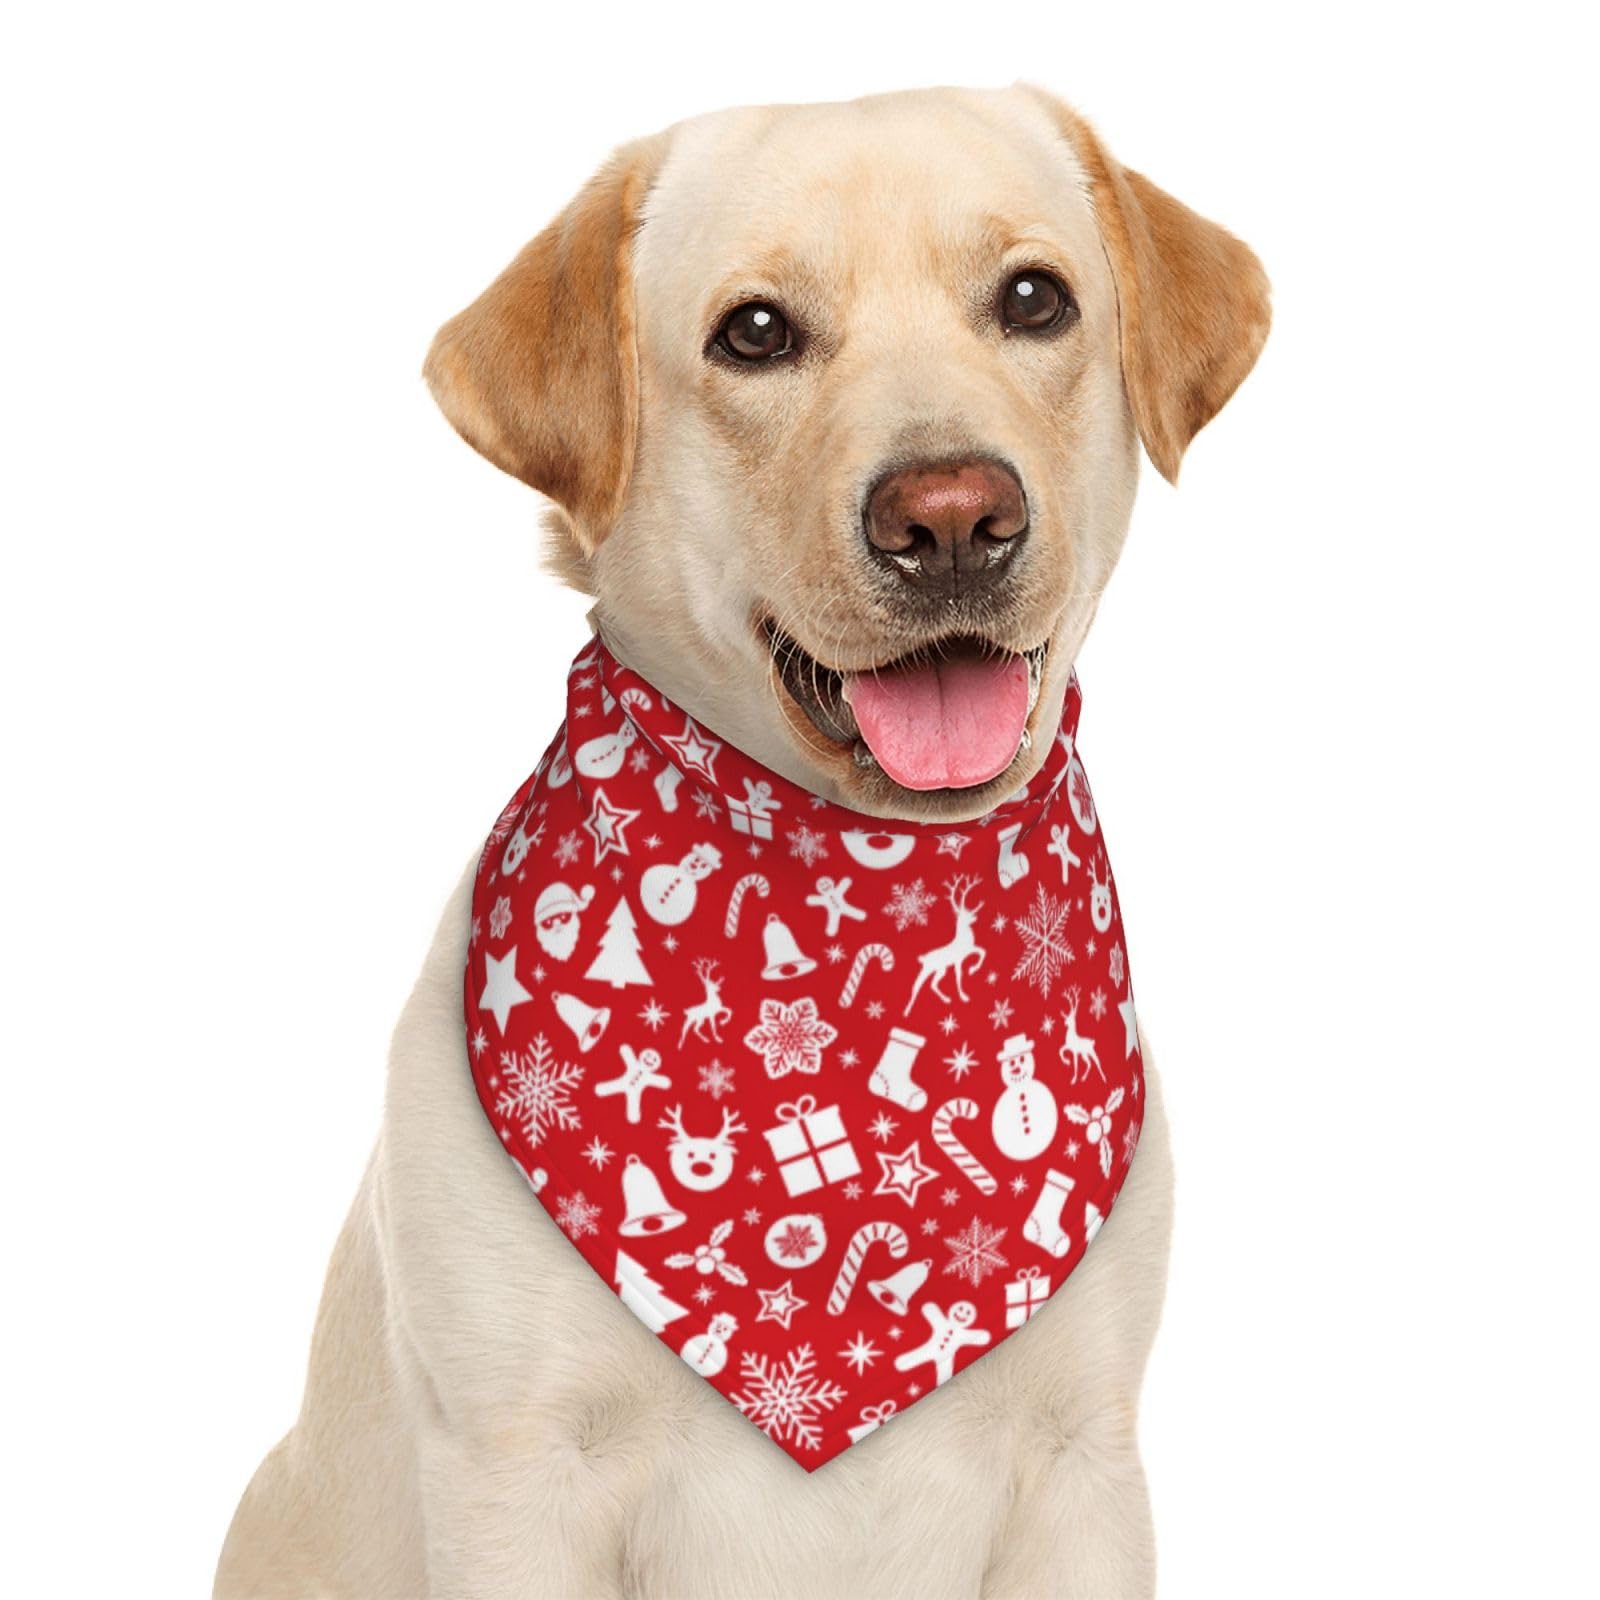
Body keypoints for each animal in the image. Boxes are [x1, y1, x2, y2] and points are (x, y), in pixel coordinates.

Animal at [905, 875, 986, 1014]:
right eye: (964, 915)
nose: (975, 917)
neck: (963, 939)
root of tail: (923, 959)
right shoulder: (959, 959)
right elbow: (959, 975)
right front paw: (964, 997)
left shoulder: (969, 950)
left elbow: (982, 952)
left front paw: (972, 970)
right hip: (927, 970)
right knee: (916, 986)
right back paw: (907, 1011)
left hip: (940, 969)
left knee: (932, 984)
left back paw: (947, 999)